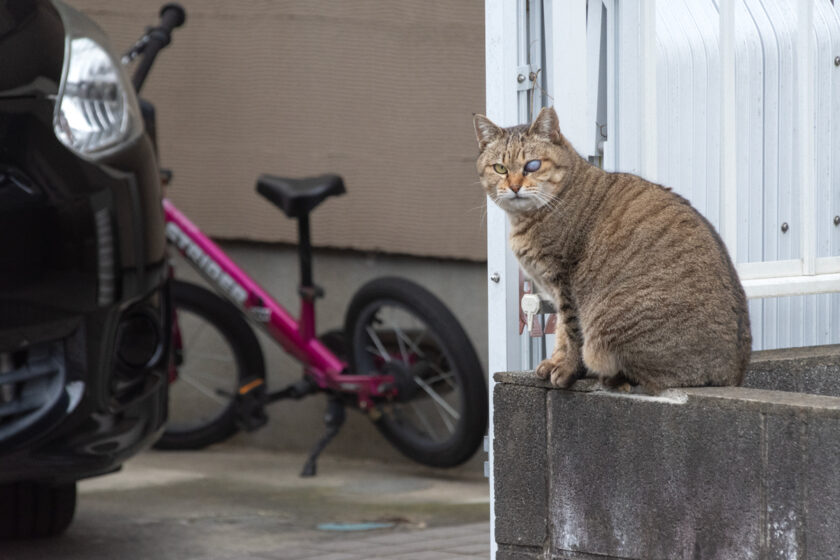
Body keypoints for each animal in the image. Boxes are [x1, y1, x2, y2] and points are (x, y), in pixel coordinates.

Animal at [476, 107, 752, 392]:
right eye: (500, 168)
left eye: (532, 165)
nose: (514, 186)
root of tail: (732, 375)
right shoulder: (554, 289)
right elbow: (561, 332)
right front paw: (554, 362)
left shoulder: (565, 282)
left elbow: (572, 332)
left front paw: (567, 369)